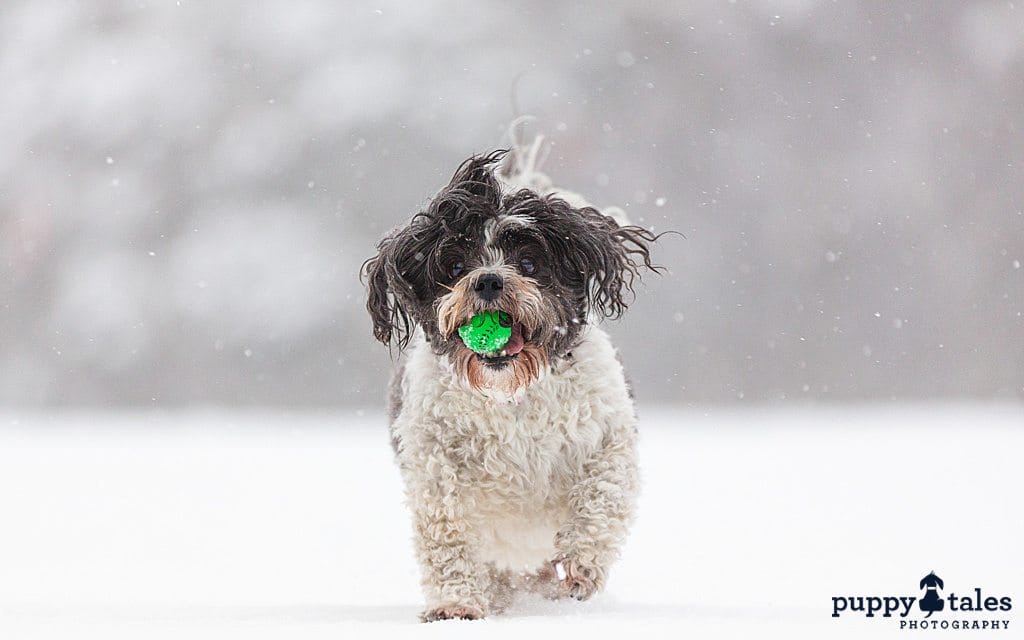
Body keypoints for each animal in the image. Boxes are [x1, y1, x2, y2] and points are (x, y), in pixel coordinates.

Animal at [364, 138, 659, 618]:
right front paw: (455, 604)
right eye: (454, 267)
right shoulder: (434, 461)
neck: (509, 394)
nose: (487, 280)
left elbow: (604, 494)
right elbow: (447, 531)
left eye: (527, 262)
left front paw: (581, 564)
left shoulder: (607, 434)